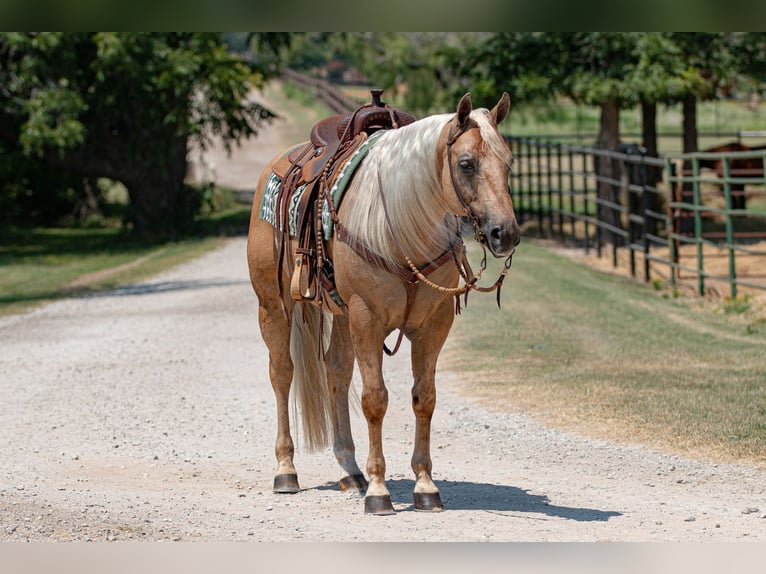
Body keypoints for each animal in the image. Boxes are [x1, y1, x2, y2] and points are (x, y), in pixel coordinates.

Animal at [246, 91, 520, 516]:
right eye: (467, 163)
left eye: (508, 163)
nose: (504, 233)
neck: (402, 229)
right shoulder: (367, 317)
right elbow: (374, 399)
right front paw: (379, 491)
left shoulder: (433, 324)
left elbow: (424, 399)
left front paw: (425, 486)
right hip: (274, 307)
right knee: (282, 374)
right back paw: (286, 471)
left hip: (341, 316)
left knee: (336, 372)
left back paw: (350, 470)